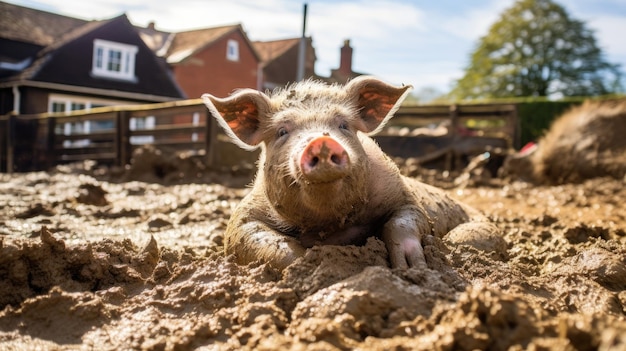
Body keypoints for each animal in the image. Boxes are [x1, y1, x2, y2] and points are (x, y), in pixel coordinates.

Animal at [202, 76, 500, 270]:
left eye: (344, 125)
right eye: (282, 131)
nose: (321, 141)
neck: (330, 227)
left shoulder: (404, 198)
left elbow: (402, 221)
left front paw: (411, 268)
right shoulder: (242, 218)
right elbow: (266, 242)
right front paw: (303, 267)